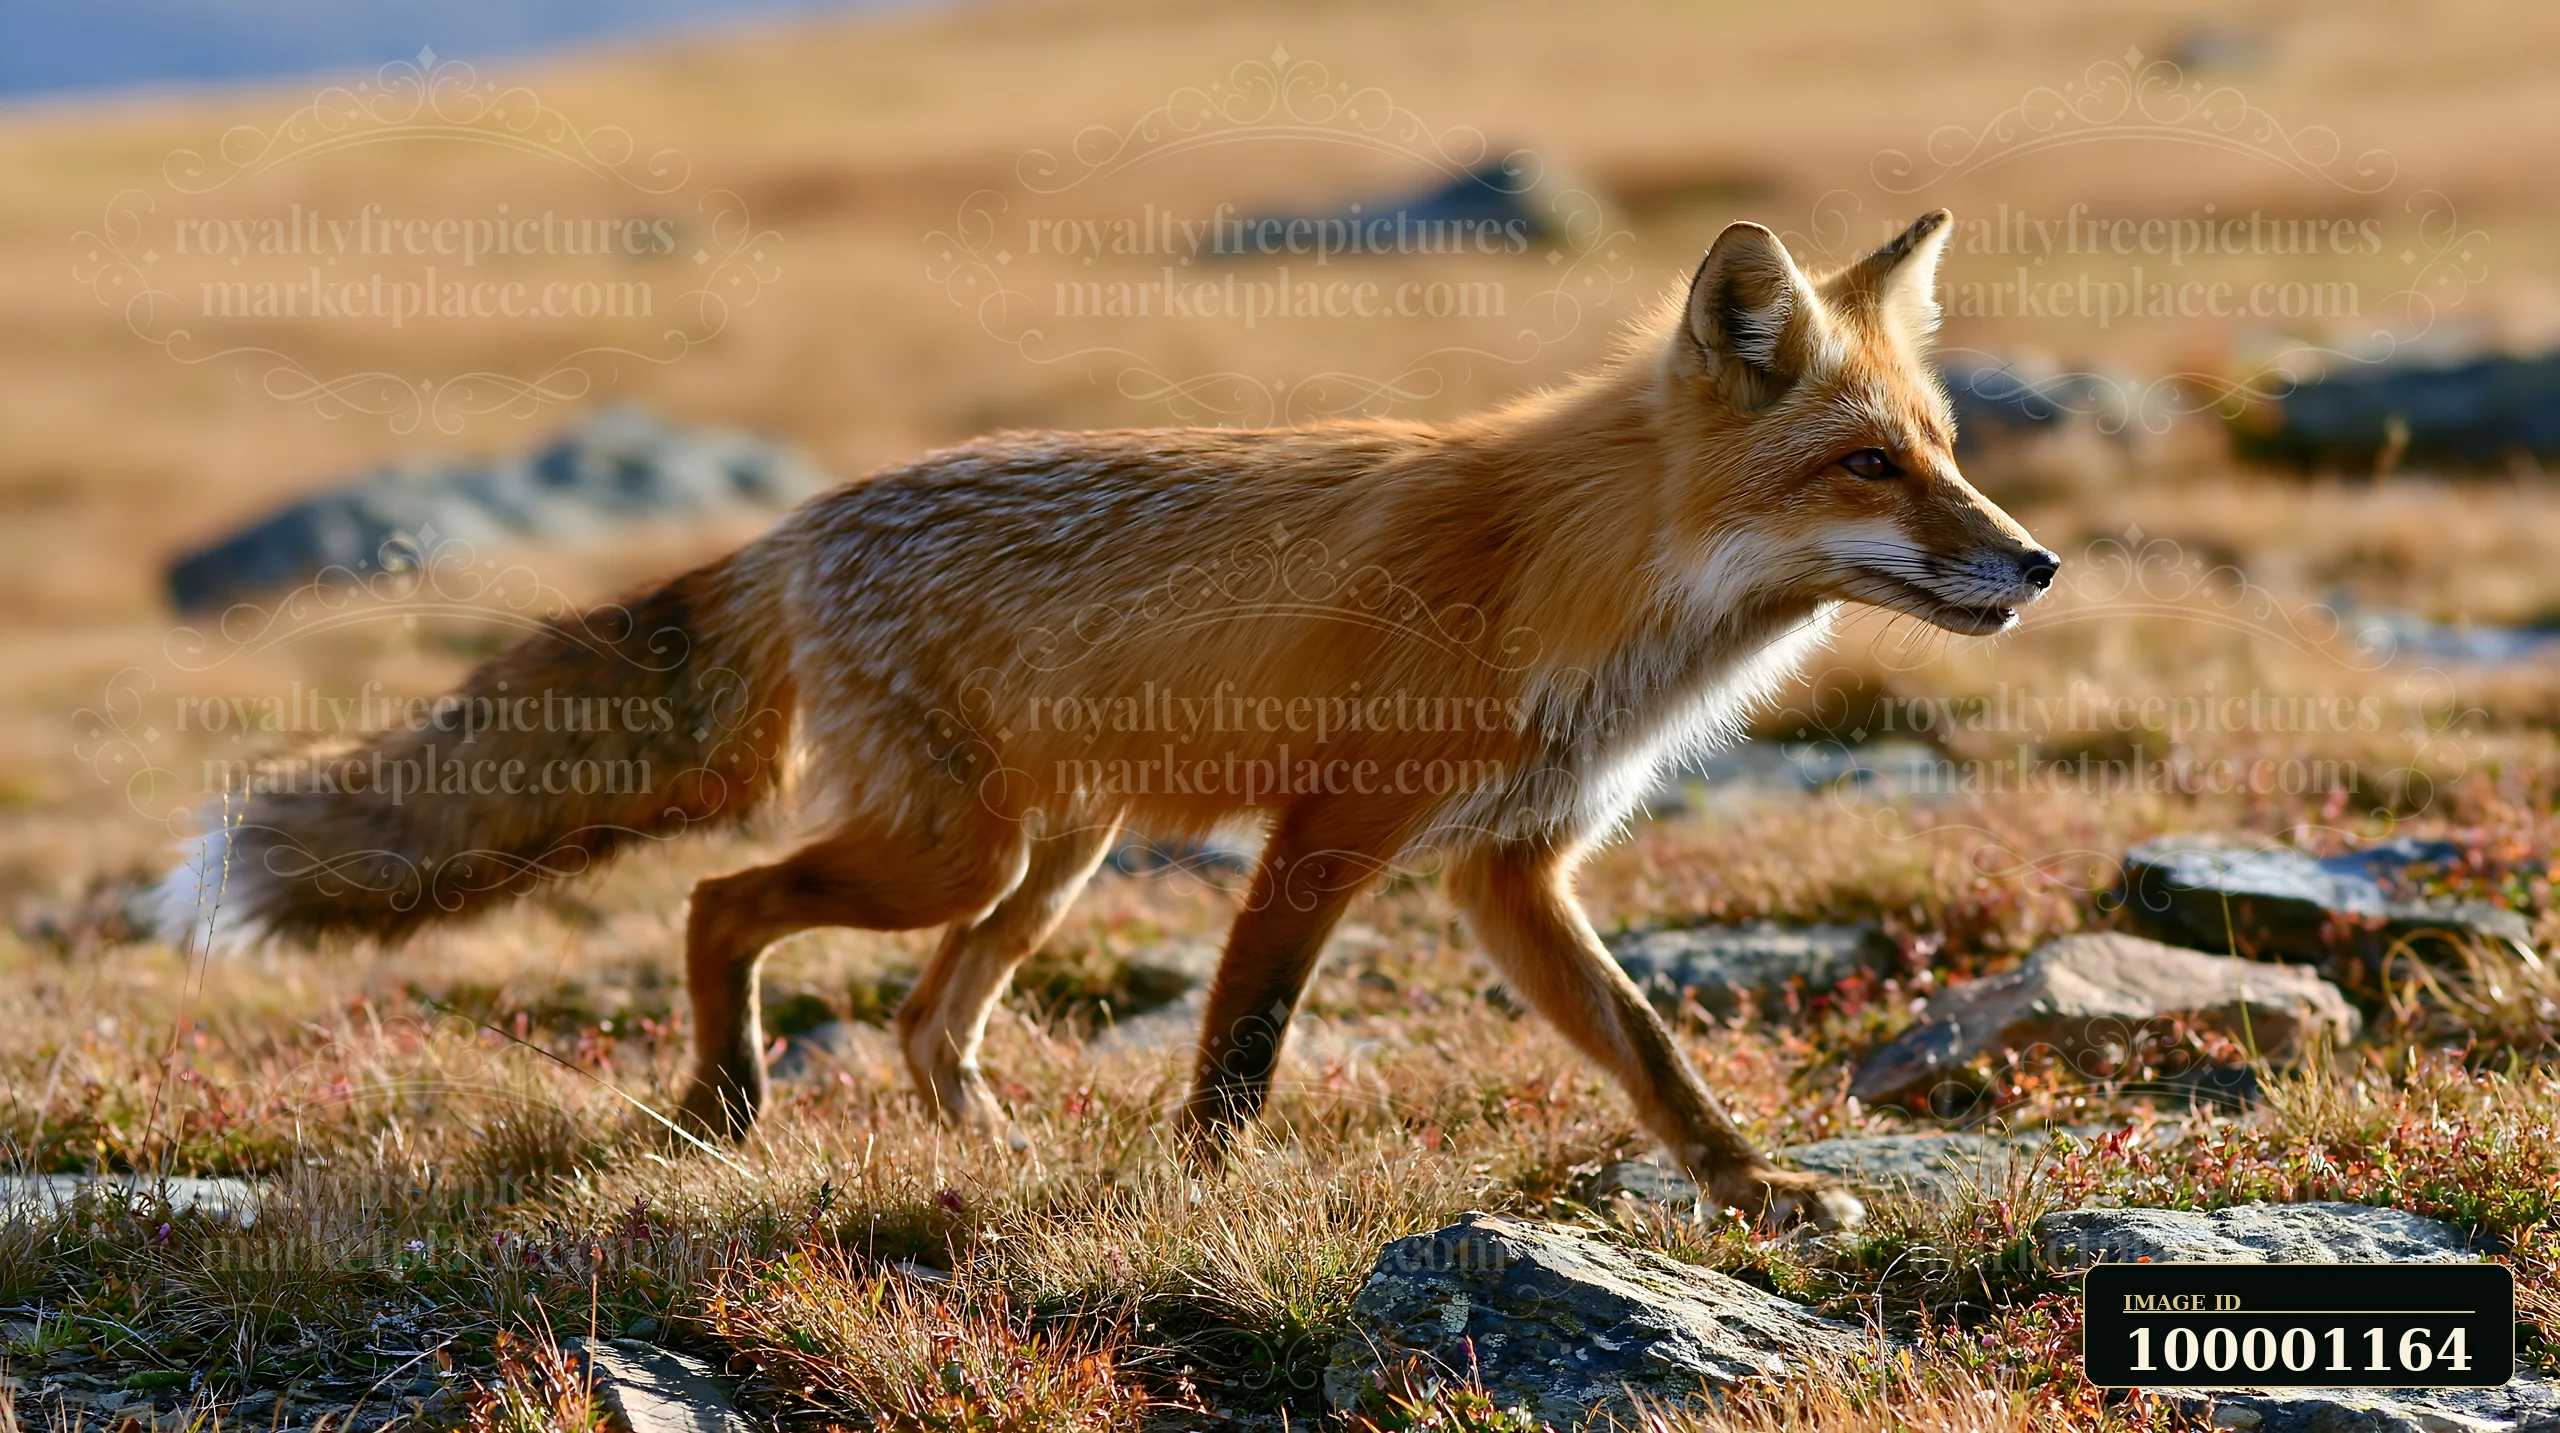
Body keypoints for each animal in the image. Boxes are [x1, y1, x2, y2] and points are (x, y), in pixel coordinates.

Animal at [151, 209, 2055, 1230]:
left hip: (1041, 865)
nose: (2032, 562)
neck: (1578, 578)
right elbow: (1242, 1049)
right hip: (957, 850)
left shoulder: (1506, 870)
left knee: (920, 1017)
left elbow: (1652, 1049)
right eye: (1865, 466)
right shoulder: (1331, 833)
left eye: (1949, 447)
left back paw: (983, 1149)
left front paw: (1753, 1191)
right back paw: (724, 1100)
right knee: (721, 903)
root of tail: (803, 522)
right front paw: (1198, 1201)